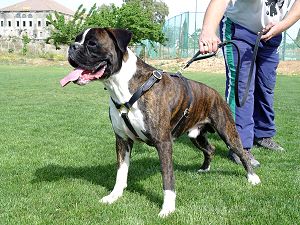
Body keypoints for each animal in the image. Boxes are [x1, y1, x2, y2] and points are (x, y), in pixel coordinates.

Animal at [60, 27, 260, 217]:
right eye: (77, 39)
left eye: (92, 43)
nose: (72, 46)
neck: (123, 86)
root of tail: (215, 93)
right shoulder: (122, 140)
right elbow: (121, 172)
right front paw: (114, 196)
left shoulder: (163, 143)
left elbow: (167, 178)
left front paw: (168, 208)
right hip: (195, 134)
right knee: (210, 149)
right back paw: (205, 169)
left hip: (227, 131)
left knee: (241, 152)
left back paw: (252, 177)